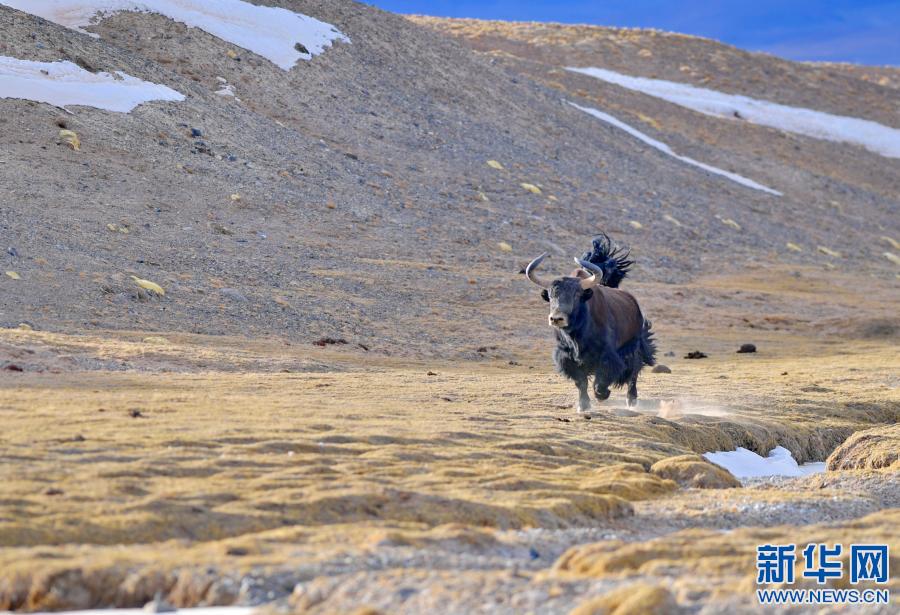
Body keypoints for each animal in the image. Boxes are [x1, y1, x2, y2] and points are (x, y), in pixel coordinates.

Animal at [525, 234, 656, 413]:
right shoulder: (568, 358)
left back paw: (631, 401)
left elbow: (601, 380)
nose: (556, 318)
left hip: (634, 346)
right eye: (551, 296)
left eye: (576, 295)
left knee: (633, 373)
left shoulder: (607, 355)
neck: (578, 333)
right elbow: (581, 382)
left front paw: (602, 395)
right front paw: (583, 405)